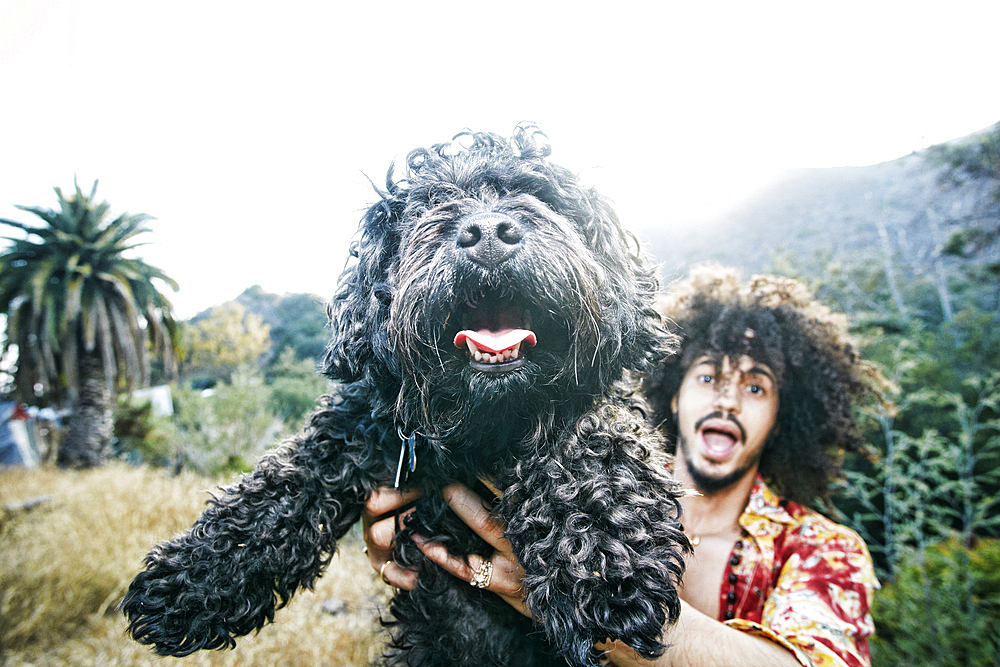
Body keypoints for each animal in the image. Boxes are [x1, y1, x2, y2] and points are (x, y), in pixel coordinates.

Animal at [123, 126, 688, 667]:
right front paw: (196, 578)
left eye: (538, 194)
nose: (487, 233)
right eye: (432, 202)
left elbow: (588, 437)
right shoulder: (359, 425)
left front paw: (605, 557)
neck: (482, 428)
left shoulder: (597, 403)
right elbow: (284, 484)